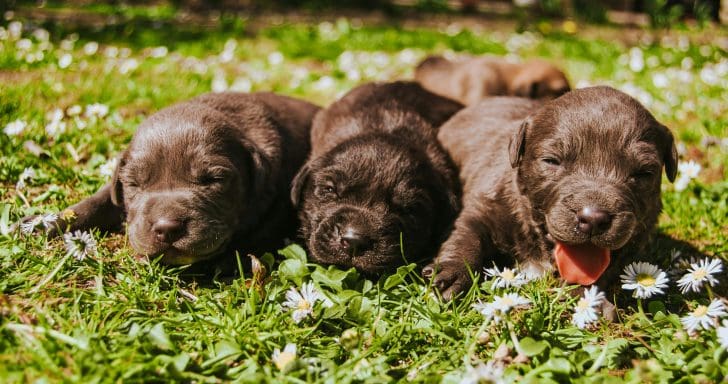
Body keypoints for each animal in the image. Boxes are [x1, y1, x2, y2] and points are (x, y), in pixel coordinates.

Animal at [424, 87, 680, 300]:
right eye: (552, 161)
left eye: (644, 173)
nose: (593, 219)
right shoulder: (486, 205)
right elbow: (467, 234)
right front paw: (452, 274)